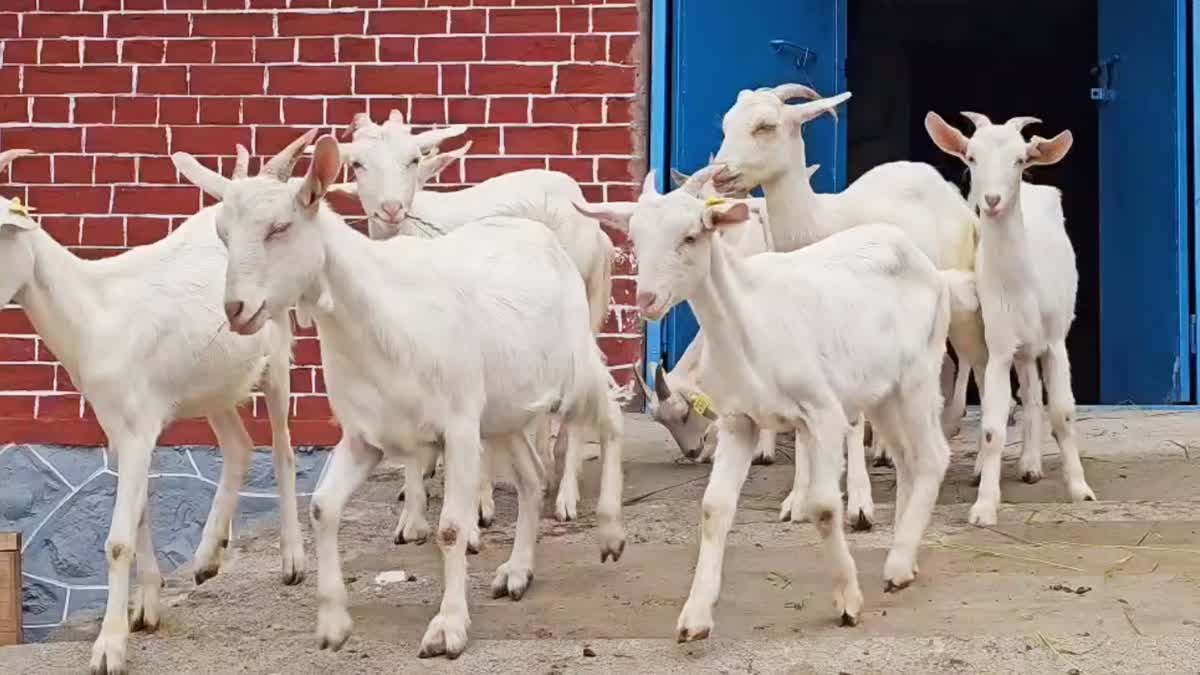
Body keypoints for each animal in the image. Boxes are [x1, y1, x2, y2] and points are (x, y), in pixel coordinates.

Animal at [3, 143, 305, 675]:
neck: (94, 311)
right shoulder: (116, 425)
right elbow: (141, 512)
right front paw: (146, 608)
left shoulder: (138, 427)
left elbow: (119, 538)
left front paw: (109, 647)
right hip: (212, 383)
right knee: (239, 446)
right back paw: (206, 560)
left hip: (275, 353)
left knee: (283, 448)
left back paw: (292, 561)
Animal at [173, 132, 626, 659]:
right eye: (222, 234)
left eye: (280, 227)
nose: (236, 309)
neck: (380, 316)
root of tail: (539, 236)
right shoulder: (366, 436)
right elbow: (322, 507)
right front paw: (333, 623)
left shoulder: (458, 426)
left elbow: (451, 527)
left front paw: (448, 628)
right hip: (501, 411)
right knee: (532, 477)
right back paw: (517, 572)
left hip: (575, 367)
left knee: (609, 418)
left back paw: (610, 531)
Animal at [577, 173, 957, 640]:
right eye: (634, 238)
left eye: (690, 236)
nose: (647, 299)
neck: (750, 319)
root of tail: (914, 253)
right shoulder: (739, 420)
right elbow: (714, 508)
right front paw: (695, 616)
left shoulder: (823, 411)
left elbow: (824, 507)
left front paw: (847, 601)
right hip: (883, 390)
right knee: (908, 459)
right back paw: (905, 554)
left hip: (919, 374)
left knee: (933, 456)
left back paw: (898, 566)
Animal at [926, 111, 1095, 526]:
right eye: (971, 157)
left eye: (1019, 160)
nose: (991, 200)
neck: (1023, 285)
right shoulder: (1001, 348)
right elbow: (992, 427)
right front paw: (985, 505)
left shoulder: (1055, 342)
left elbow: (1064, 413)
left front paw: (1079, 489)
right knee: (1027, 393)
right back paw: (1024, 464)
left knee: (1034, 394)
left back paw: (1032, 464)